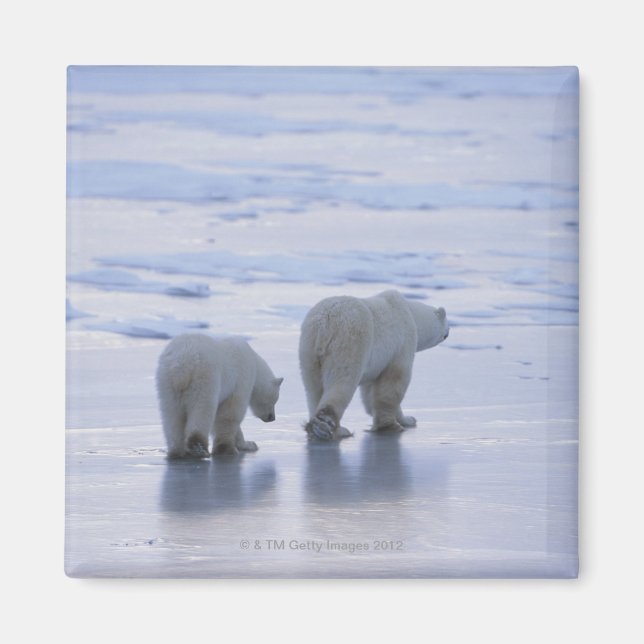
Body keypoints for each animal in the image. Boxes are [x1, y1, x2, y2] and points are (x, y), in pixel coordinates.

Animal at [299, 289, 448, 440]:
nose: (448, 333)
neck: (412, 314)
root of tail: (324, 325)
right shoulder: (402, 344)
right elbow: (394, 383)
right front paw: (396, 423)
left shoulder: (376, 361)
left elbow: (369, 390)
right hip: (350, 342)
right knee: (342, 381)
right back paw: (335, 428)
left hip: (309, 351)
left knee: (313, 389)